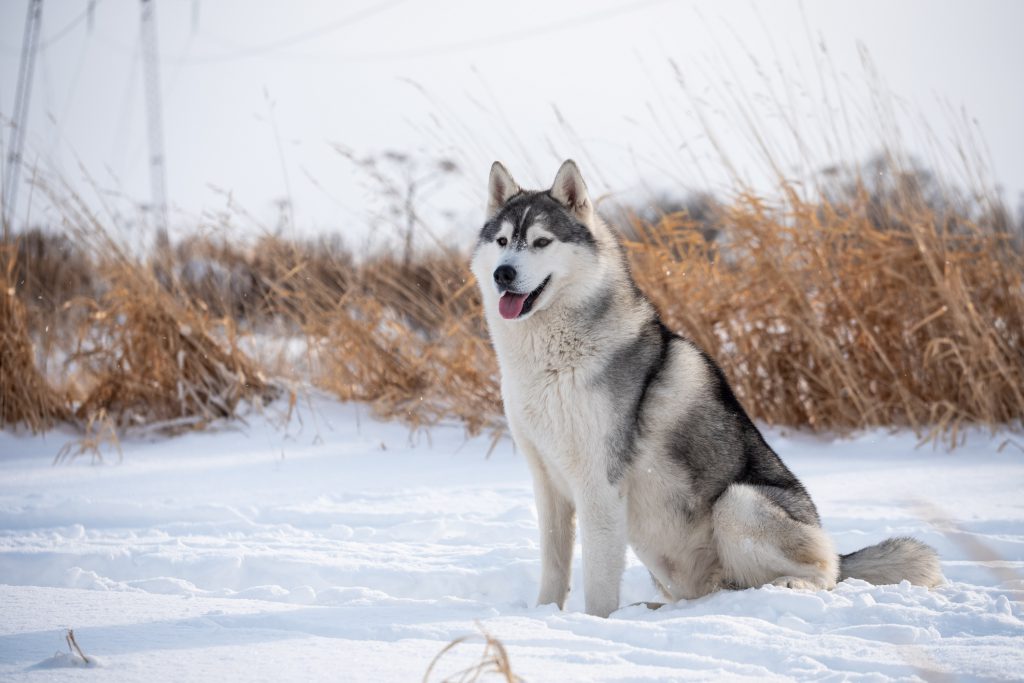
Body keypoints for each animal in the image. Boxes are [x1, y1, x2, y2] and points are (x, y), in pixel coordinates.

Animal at [471, 160, 942, 618]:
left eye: (541, 242)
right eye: (502, 241)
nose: (503, 273)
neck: (550, 361)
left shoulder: (600, 483)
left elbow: (600, 585)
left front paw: (594, 625)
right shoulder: (547, 483)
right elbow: (554, 567)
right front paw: (544, 616)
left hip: (738, 503)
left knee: (825, 573)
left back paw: (790, 585)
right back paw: (654, 608)